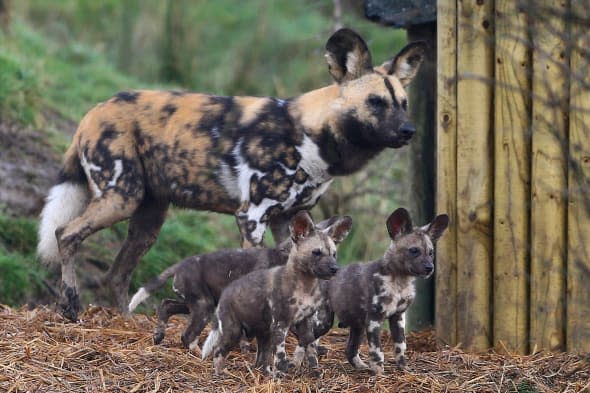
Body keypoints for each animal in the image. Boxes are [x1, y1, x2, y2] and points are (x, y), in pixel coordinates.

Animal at [37, 28, 428, 322]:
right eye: (375, 102)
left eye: (404, 104)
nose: (409, 131)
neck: (312, 136)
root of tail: (94, 110)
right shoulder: (251, 216)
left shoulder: (288, 219)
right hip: (122, 197)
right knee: (65, 234)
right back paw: (70, 305)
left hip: (148, 217)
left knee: (116, 273)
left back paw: (127, 321)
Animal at [129, 214, 350, 350]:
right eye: (316, 253)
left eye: (334, 254)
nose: (335, 269)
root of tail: (182, 263)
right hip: (203, 306)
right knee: (187, 336)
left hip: (201, 303)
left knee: (166, 305)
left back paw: (158, 335)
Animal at [202, 210, 352, 376]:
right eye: (316, 252)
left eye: (334, 254)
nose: (335, 269)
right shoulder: (277, 321)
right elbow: (276, 352)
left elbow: (306, 343)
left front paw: (310, 367)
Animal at [324, 208, 448, 374]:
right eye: (414, 250)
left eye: (431, 252)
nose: (430, 268)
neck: (400, 283)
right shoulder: (374, 319)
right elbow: (377, 351)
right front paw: (379, 372)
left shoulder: (398, 317)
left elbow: (401, 347)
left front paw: (403, 368)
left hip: (358, 326)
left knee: (350, 350)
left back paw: (361, 366)